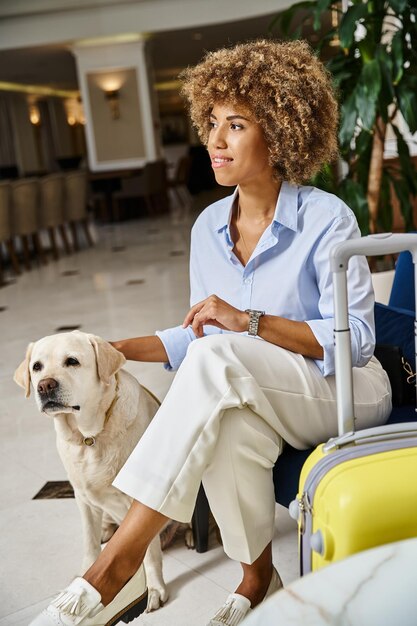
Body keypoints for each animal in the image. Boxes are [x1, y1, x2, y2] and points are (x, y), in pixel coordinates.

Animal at [13, 332, 168, 608]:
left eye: (72, 361)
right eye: (36, 367)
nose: (44, 385)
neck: (88, 438)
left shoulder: (141, 498)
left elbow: (149, 551)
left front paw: (153, 588)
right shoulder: (82, 498)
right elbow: (89, 542)